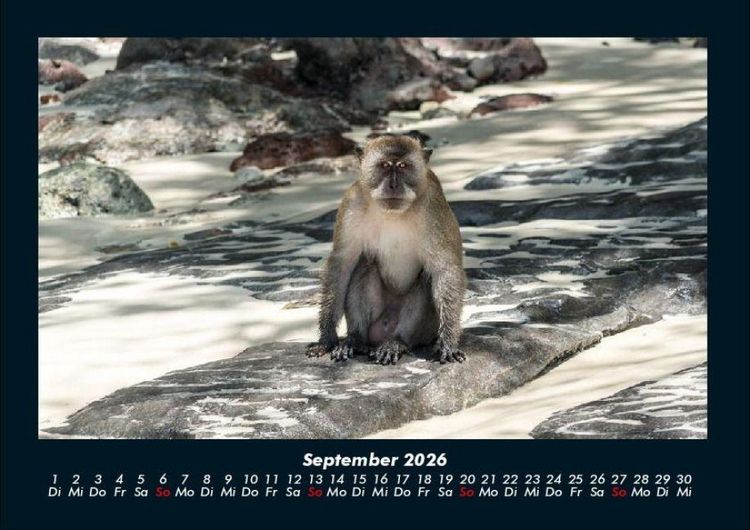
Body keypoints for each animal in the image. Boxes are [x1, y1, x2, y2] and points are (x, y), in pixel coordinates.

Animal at [306, 131, 466, 365]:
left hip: (425, 331)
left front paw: (448, 342)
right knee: (365, 265)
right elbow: (342, 264)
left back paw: (396, 342)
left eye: (403, 166)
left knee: (425, 279)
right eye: (384, 165)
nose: (393, 185)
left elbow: (445, 269)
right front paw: (326, 339)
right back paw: (355, 339)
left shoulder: (433, 206)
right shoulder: (352, 202)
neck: (393, 213)